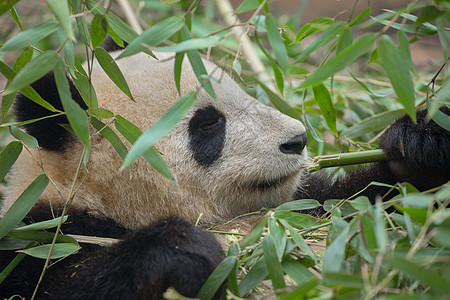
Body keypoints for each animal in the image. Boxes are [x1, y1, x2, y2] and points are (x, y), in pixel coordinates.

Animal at [0, 45, 448, 298]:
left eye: (246, 91)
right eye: (209, 124)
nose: (297, 139)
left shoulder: (301, 208)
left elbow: (366, 206)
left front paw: (422, 143)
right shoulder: (41, 235)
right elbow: (54, 286)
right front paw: (184, 251)